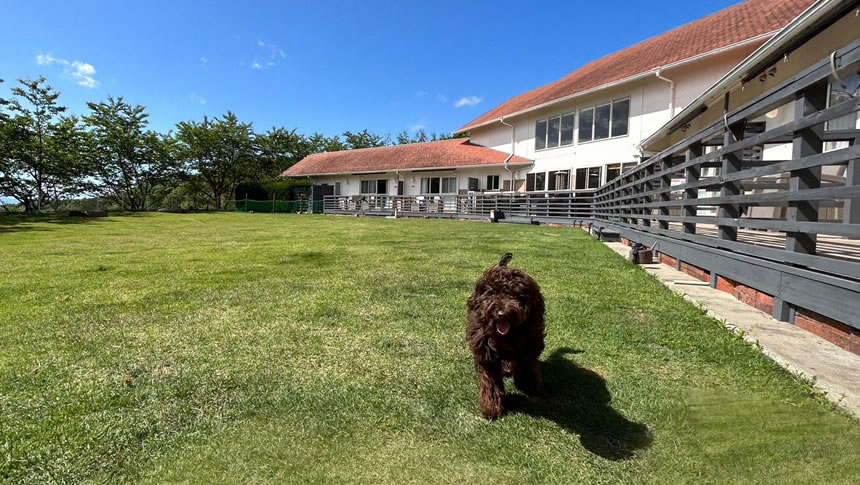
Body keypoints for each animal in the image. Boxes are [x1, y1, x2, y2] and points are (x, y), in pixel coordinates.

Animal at [470, 251, 544, 418]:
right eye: (492, 293)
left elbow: (527, 365)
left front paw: (528, 384)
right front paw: (491, 407)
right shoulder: (486, 353)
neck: (507, 336)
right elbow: (490, 381)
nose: (502, 313)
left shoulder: (530, 344)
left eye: (516, 295)